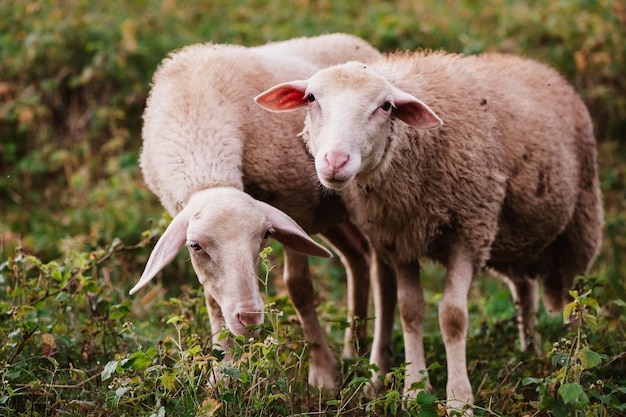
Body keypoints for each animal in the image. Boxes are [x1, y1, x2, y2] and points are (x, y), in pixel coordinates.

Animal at [128, 34, 386, 388]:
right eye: (195, 246)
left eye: (265, 236)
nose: (249, 317)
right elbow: (212, 298)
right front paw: (222, 374)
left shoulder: (294, 204)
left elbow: (299, 288)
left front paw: (322, 373)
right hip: (330, 214)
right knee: (358, 257)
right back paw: (353, 349)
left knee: (380, 268)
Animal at [255, 50, 604, 412]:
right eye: (311, 98)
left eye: (385, 106)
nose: (335, 161)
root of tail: (537, 66)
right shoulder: (399, 239)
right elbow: (410, 311)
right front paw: (413, 390)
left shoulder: (469, 232)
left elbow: (453, 316)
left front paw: (459, 399)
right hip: (513, 236)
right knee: (524, 288)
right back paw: (531, 352)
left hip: (580, 225)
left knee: (575, 301)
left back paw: (573, 360)